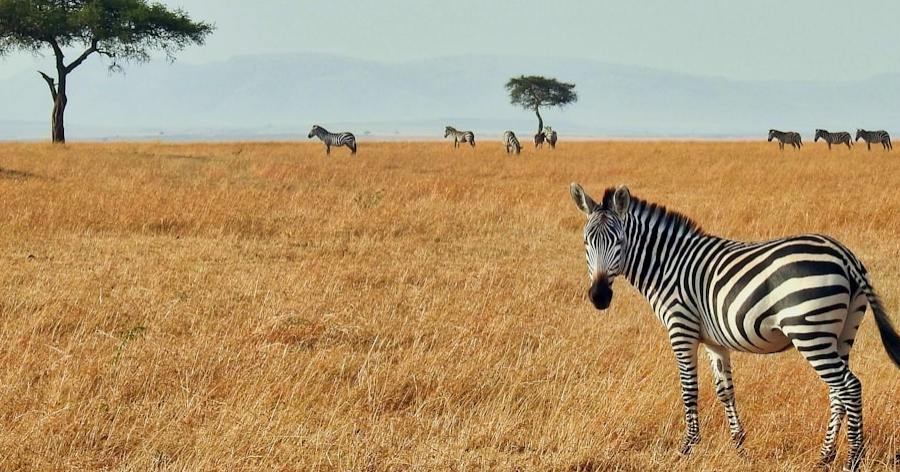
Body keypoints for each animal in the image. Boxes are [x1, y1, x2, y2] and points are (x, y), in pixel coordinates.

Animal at [569, 183, 900, 472]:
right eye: (586, 242)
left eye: (618, 241)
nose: (599, 297)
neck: (667, 265)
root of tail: (845, 255)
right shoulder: (715, 340)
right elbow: (725, 391)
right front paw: (739, 445)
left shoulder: (681, 328)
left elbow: (689, 389)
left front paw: (687, 447)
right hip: (842, 333)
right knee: (837, 391)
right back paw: (825, 457)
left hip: (810, 331)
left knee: (849, 386)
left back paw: (853, 459)